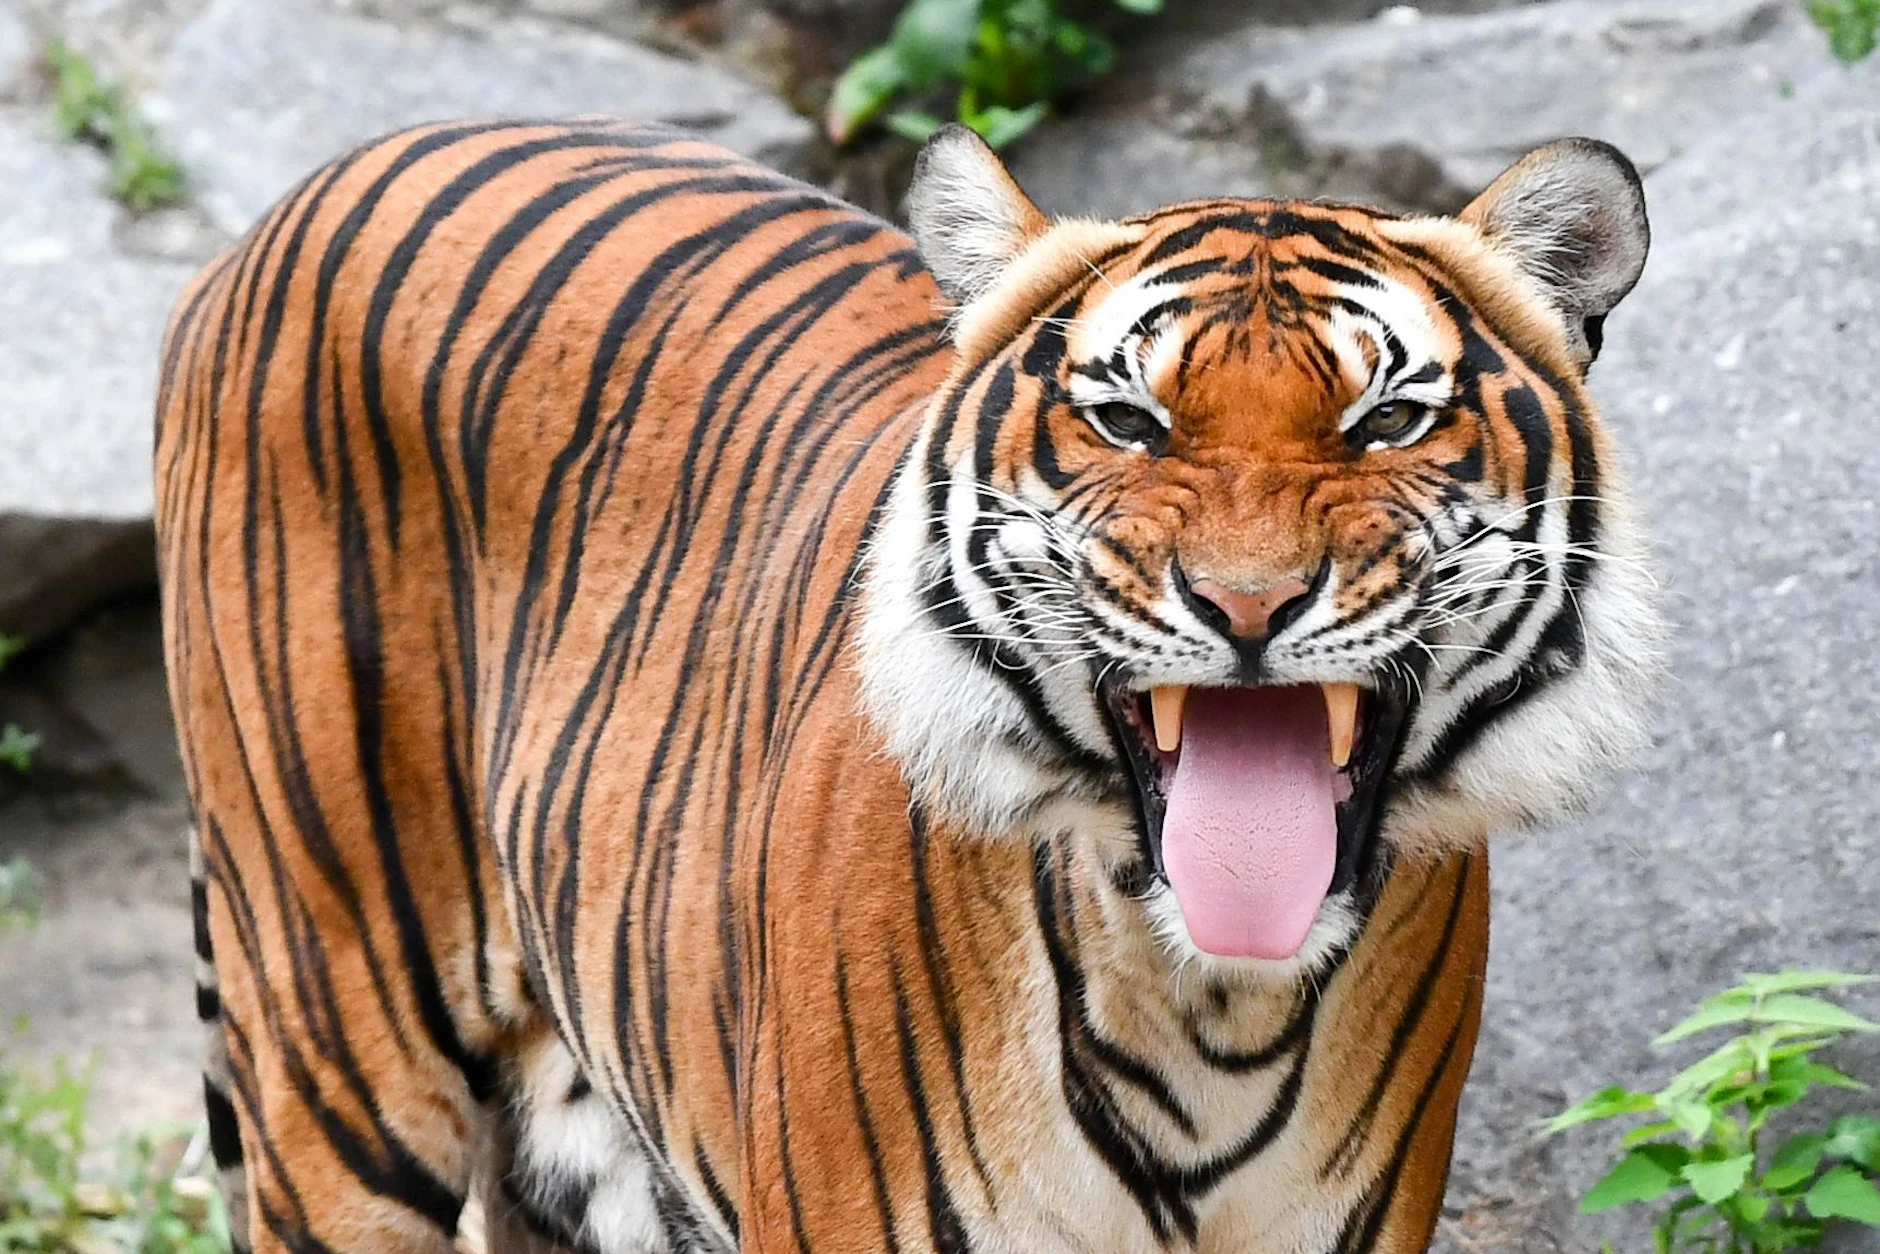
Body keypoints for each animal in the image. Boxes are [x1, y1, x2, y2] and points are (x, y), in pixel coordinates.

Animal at [154, 118, 1664, 1254]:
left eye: (1390, 420)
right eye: (1126, 420)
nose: (1246, 606)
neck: (1208, 1010)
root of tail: (297, 201)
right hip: (333, 1023)